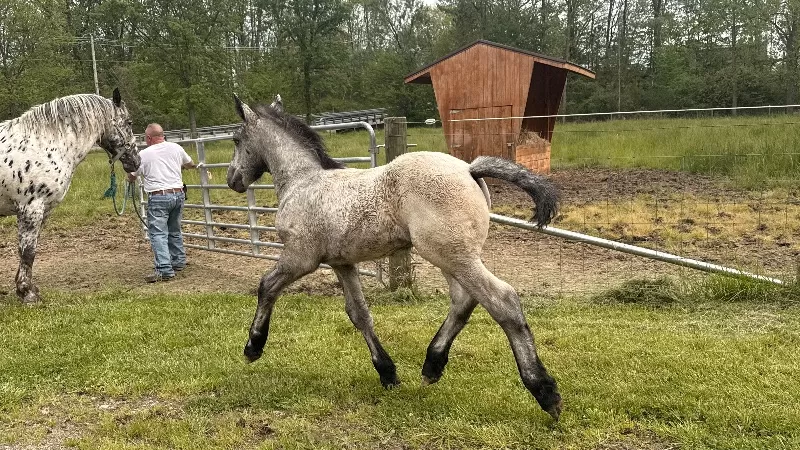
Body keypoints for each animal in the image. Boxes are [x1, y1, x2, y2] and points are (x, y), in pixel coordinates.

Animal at [0, 89, 140, 303]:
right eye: (129, 122)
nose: (136, 162)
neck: (44, 144)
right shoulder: (30, 208)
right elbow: (27, 252)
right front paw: (28, 293)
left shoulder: (44, 211)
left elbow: (30, 249)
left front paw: (27, 289)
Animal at [227, 94, 563, 420]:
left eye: (236, 139)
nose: (232, 180)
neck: (302, 181)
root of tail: (469, 168)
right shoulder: (342, 263)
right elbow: (359, 314)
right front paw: (388, 373)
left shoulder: (300, 257)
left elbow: (266, 286)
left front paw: (253, 347)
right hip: (454, 257)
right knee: (463, 301)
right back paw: (432, 366)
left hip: (450, 255)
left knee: (502, 300)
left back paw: (545, 392)